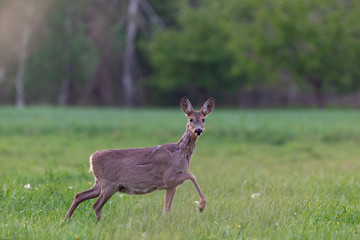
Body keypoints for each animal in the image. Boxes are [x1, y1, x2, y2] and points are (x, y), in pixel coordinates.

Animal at [63, 96, 215, 220]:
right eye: (190, 119)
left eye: (203, 119)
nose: (198, 130)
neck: (181, 152)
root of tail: (91, 158)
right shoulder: (169, 176)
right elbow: (192, 175)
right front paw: (201, 206)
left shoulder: (171, 185)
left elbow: (166, 210)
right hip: (108, 184)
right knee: (96, 205)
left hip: (99, 184)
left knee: (79, 195)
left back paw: (65, 220)